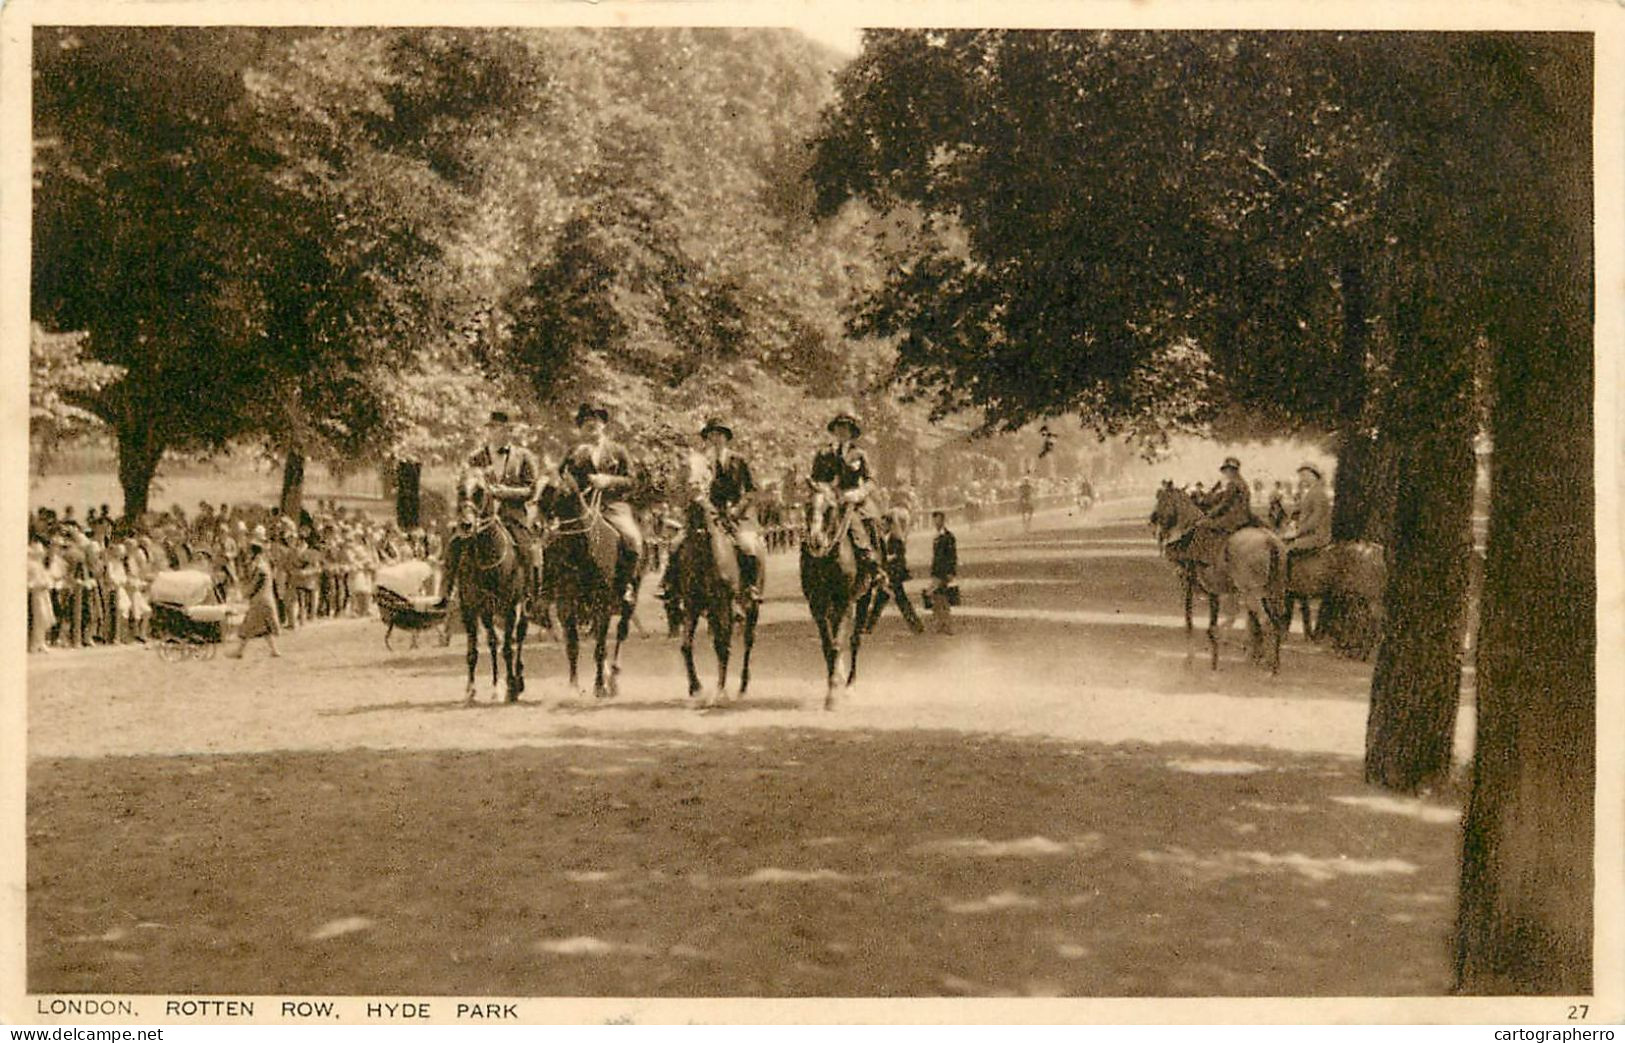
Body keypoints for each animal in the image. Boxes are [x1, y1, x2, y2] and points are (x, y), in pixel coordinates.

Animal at [451, 474, 526, 701]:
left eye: (480, 491)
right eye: (460, 490)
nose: (466, 525)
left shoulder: (510, 608)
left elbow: (508, 649)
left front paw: (511, 687)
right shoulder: (470, 609)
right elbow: (473, 651)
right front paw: (470, 690)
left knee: (519, 636)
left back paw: (518, 680)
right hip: (487, 612)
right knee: (494, 641)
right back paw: (495, 686)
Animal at [539, 480, 640, 698]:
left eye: (553, 487)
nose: (538, 523)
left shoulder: (602, 606)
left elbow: (600, 648)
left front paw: (600, 686)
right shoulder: (565, 605)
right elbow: (572, 646)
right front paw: (573, 685)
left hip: (627, 604)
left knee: (620, 633)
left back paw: (613, 676)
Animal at [659, 454, 760, 698]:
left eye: (706, 468)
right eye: (684, 466)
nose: (695, 487)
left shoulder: (723, 603)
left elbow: (723, 645)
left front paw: (720, 691)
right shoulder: (692, 603)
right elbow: (686, 645)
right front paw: (695, 686)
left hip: (749, 608)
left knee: (747, 642)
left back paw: (743, 684)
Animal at [796, 480, 877, 708]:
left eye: (830, 508)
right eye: (807, 505)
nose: (816, 541)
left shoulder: (844, 602)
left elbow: (837, 644)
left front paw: (833, 695)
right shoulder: (817, 604)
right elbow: (827, 645)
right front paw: (833, 685)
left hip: (864, 597)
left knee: (855, 640)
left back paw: (849, 685)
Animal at [1150, 484, 1287, 669]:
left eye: (1162, 499)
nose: (1152, 519)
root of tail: (1270, 541)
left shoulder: (1188, 587)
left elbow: (1190, 623)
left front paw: (1190, 659)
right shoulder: (1216, 592)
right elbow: (1221, 619)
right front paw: (1215, 658)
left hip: (1252, 593)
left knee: (1265, 620)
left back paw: (1267, 664)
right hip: (1274, 590)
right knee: (1275, 620)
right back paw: (1273, 662)